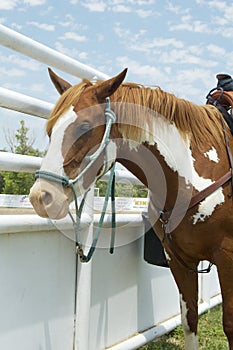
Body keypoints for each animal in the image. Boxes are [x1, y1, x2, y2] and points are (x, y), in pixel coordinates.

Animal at [29, 68, 233, 350]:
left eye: (84, 126)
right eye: (51, 130)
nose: (41, 196)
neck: (193, 172)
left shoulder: (227, 257)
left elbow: (229, 325)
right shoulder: (179, 260)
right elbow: (189, 318)